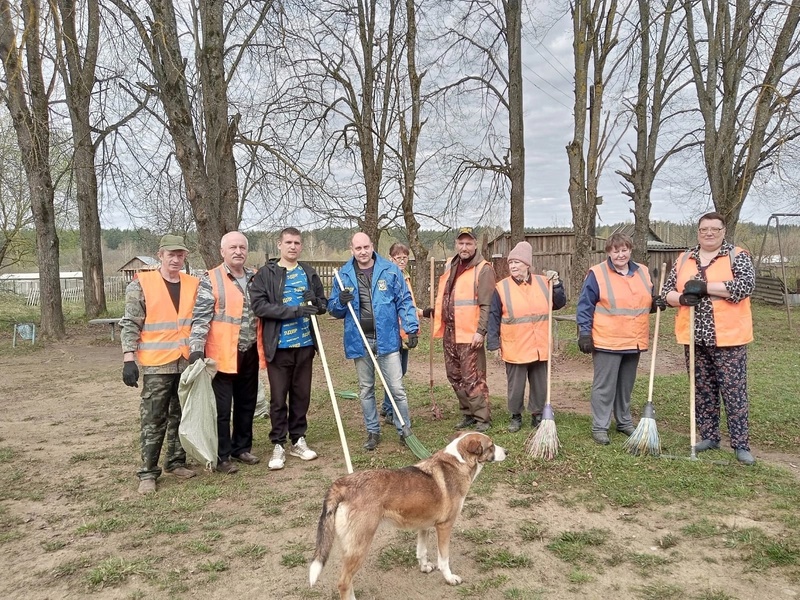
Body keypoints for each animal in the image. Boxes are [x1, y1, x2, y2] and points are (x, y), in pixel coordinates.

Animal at [308, 432, 506, 600]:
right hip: (359, 547)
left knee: (348, 582)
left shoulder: (424, 526)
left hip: (351, 549)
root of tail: (343, 483)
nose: (507, 452)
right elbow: (444, 559)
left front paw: (424, 567)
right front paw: (449, 578)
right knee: (343, 583)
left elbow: (421, 551)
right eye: (491, 445)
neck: (458, 462)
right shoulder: (444, 526)